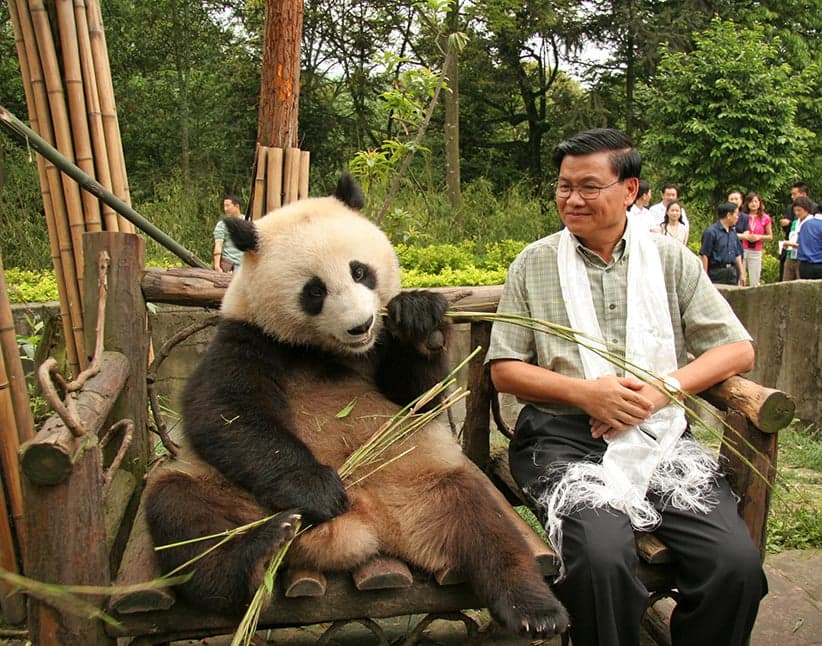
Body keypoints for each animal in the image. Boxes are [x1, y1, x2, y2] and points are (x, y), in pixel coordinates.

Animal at [144, 174, 569, 637]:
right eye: (314, 291)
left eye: (359, 271)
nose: (360, 325)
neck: (326, 351)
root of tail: (366, 527)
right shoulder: (247, 337)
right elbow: (224, 413)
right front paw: (319, 489)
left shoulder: (379, 348)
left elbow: (417, 401)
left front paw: (421, 320)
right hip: (228, 493)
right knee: (185, 519)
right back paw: (258, 550)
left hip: (424, 484)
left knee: (485, 523)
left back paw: (533, 609)